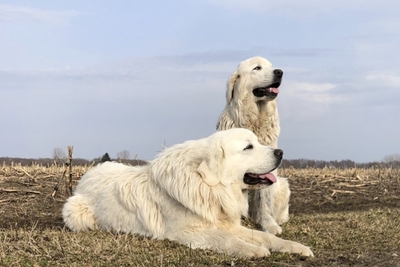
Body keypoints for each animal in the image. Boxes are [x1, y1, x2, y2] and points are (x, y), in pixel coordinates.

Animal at [217, 56, 290, 234]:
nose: (279, 72)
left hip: (283, 185)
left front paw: (269, 225)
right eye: (257, 68)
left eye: (271, 66)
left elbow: (264, 201)